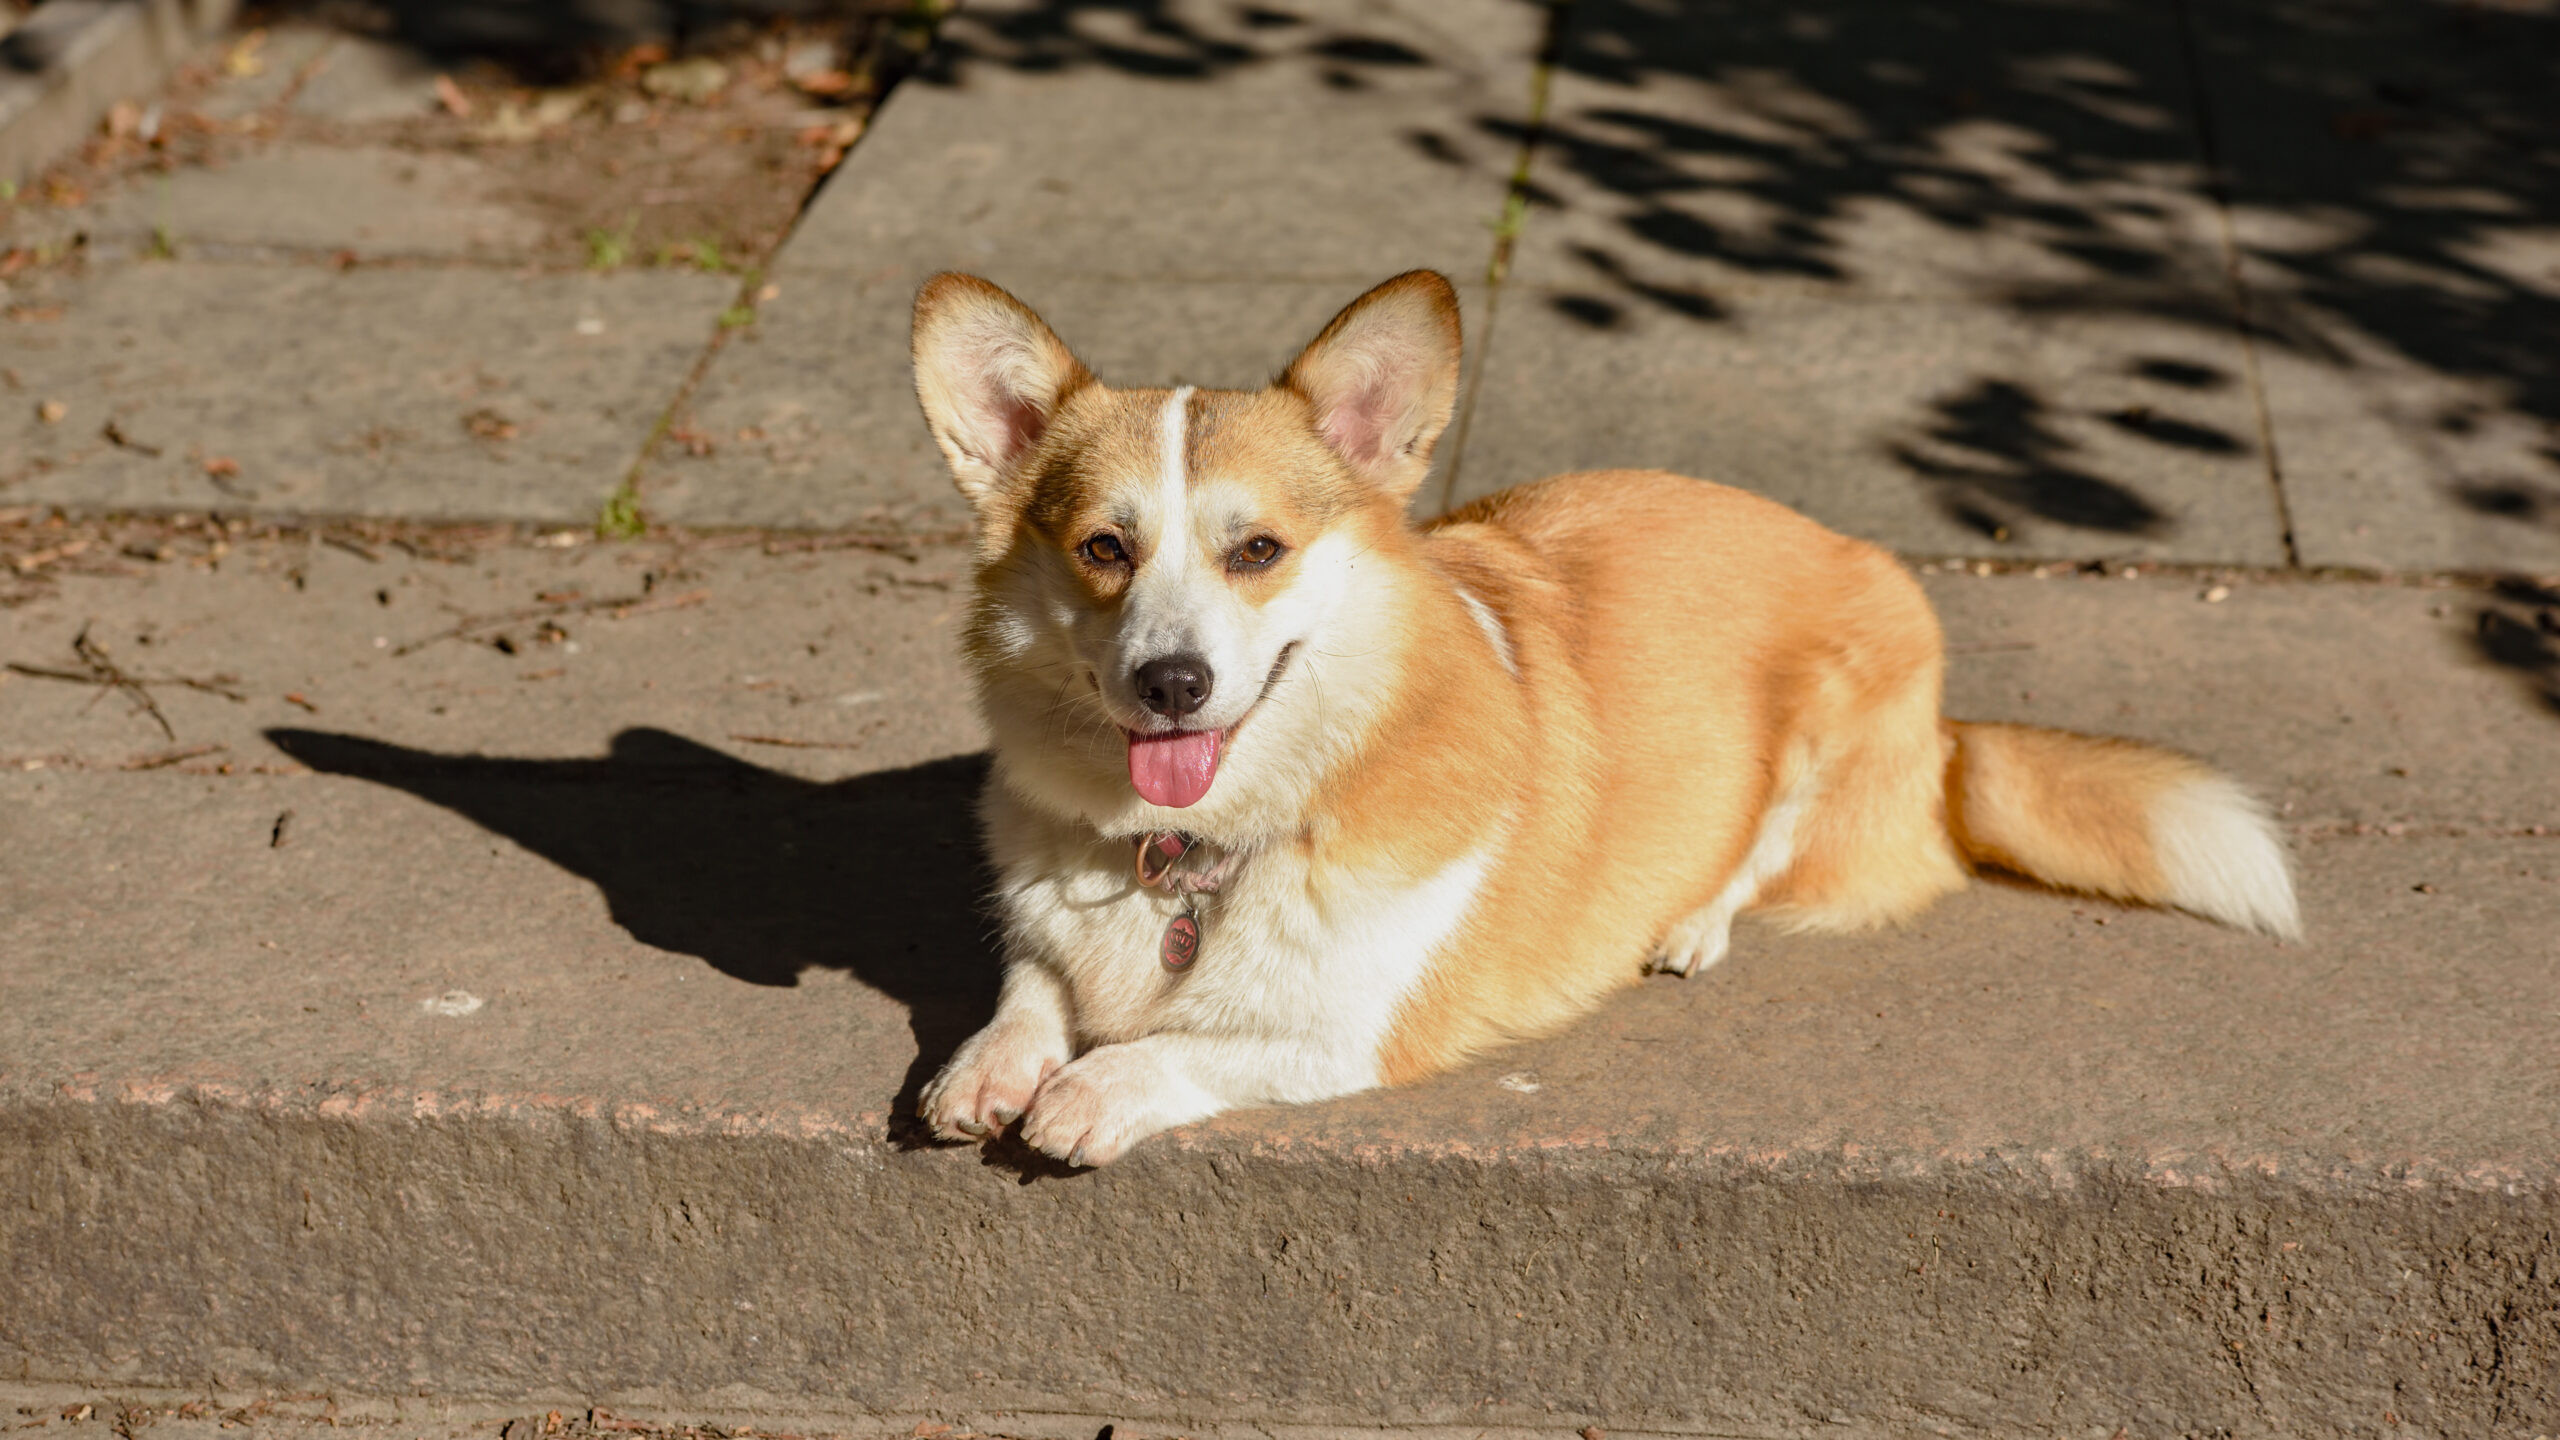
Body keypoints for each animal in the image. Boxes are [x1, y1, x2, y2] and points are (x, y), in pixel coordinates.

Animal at [916, 271, 2304, 1168]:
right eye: (1104, 549)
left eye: (1257, 549)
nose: (1171, 684)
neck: (1194, 849)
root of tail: (1950, 740)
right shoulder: (1054, 936)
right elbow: (1030, 987)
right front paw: (984, 1068)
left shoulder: (1353, 1031)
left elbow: (1184, 1045)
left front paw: (1090, 1091)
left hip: (1834, 711)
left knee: (1761, 855)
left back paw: (1685, 923)